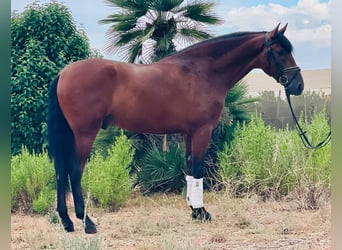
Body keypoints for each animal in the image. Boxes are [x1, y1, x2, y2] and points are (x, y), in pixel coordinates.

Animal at [46, 23, 304, 232]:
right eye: (280, 52)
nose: (298, 86)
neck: (202, 72)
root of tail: (63, 73)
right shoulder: (202, 131)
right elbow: (198, 169)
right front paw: (202, 213)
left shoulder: (189, 133)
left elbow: (189, 168)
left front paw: (194, 211)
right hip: (84, 134)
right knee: (74, 172)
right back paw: (86, 222)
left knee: (60, 172)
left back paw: (66, 222)